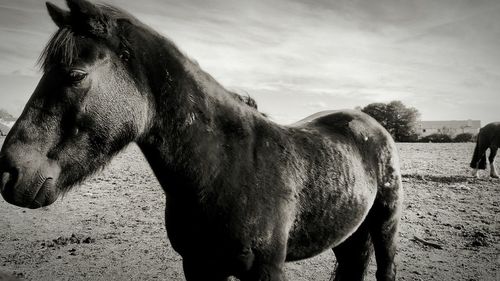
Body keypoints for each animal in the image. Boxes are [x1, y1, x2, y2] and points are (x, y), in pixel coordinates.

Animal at [0, 1, 402, 278]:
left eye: (75, 74)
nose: (10, 172)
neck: (224, 168)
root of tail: (372, 124)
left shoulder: (266, 270)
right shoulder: (197, 266)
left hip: (385, 225)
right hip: (348, 235)